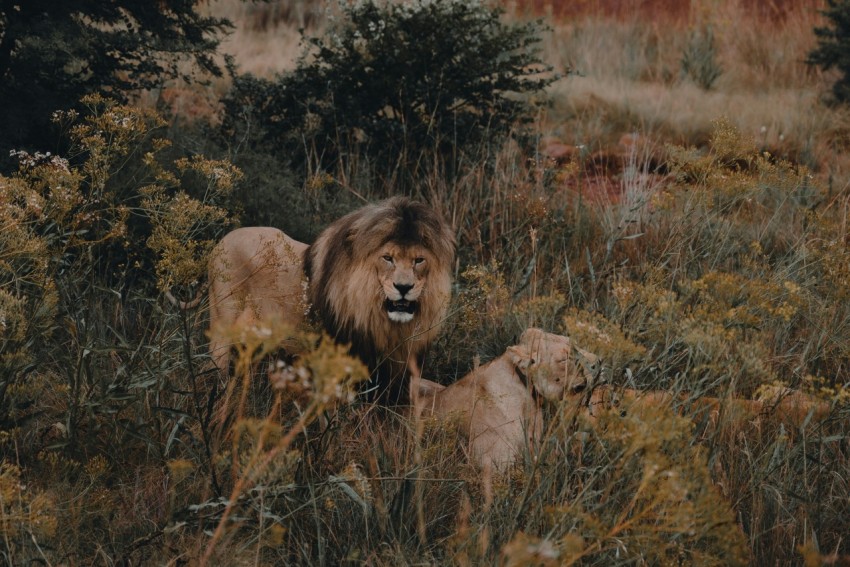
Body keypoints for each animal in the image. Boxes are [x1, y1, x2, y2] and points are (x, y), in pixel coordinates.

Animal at [205, 197, 454, 406]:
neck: (382, 321)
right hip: (222, 327)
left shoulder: (395, 370)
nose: (404, 287)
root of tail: (224, 239)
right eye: (387, 258)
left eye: (419, 260)